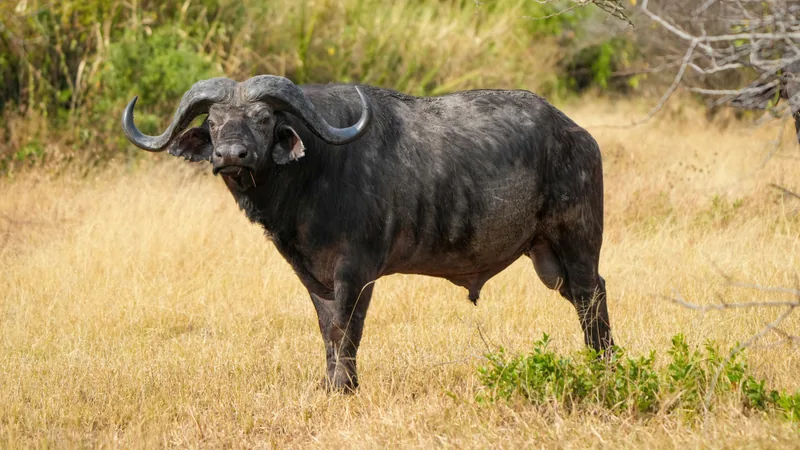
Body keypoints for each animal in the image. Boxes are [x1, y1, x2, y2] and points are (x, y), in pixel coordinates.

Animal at [121, 75, 615, 392]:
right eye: (214, 121)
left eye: (263, 119)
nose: (230, 155)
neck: (314, 172)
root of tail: (577, 135)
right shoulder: (314, 278)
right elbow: (327, 331)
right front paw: (331, 386)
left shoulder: (356, 273)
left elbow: (347, 330)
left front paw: (345, 388)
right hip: (549, 261)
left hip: (578, 243)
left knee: (592, 297)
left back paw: (603, 366)